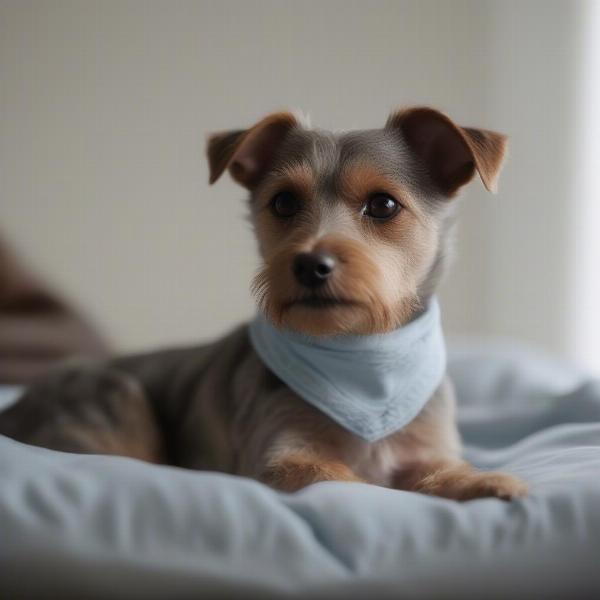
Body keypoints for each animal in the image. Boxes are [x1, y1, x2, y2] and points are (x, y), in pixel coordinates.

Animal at [0, 108, 524, 502]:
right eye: (284, 202)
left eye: (384, 205)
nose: (310, 264)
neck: (358, 355)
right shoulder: (281, 457)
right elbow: (352, 482)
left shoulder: (427, 447)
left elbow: (439, 471)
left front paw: (487, 481)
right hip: (114, 397)